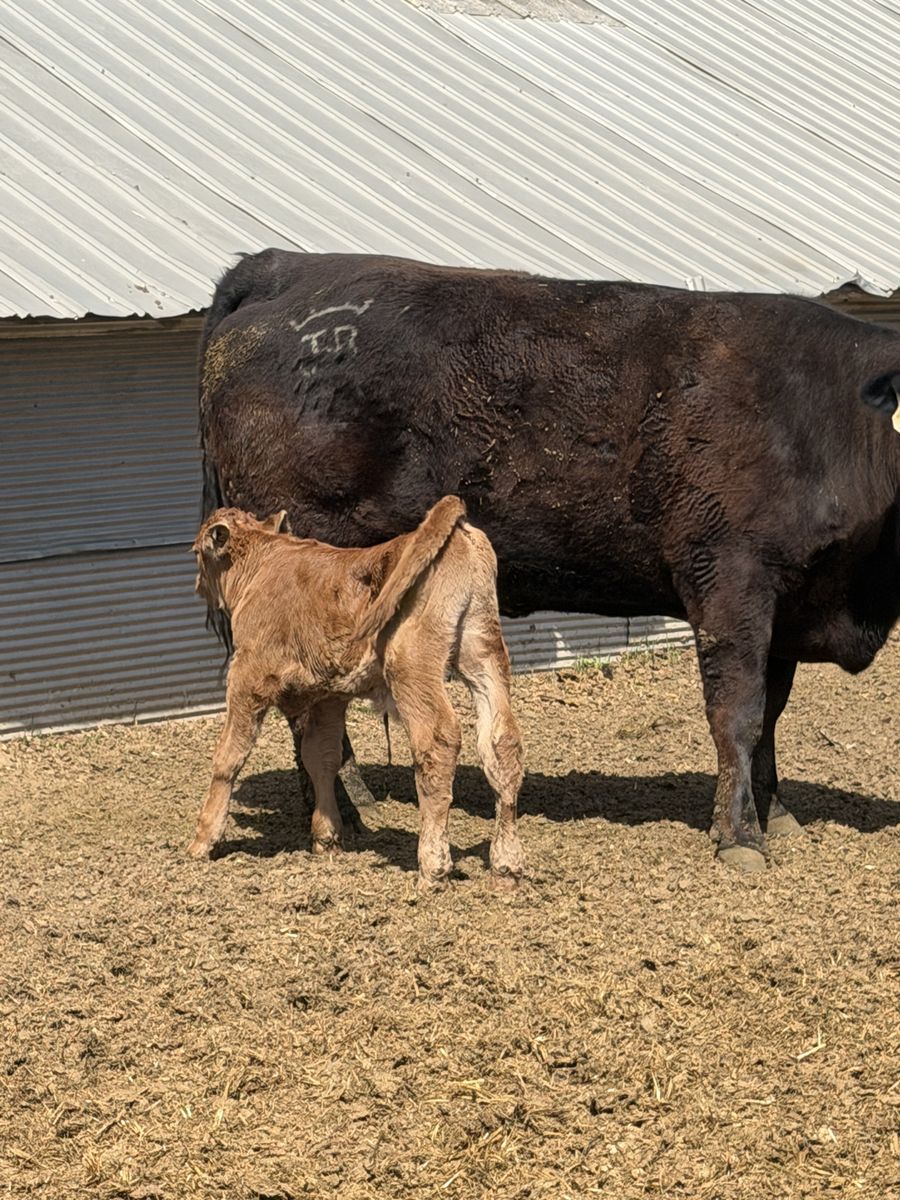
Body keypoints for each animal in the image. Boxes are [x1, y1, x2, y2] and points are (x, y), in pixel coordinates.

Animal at [188, 497, 525, 892]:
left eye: (198, 550)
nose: (198, 584)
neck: (263, 564)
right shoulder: (327, 695)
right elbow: (321, 757)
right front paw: (327, 837)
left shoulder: (248, 676)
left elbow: (229, 756)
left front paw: (204, 839)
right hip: (483, 653)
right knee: (502, 743)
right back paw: (506, 866)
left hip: (411, 666)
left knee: (438, 742)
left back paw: (433, 867)